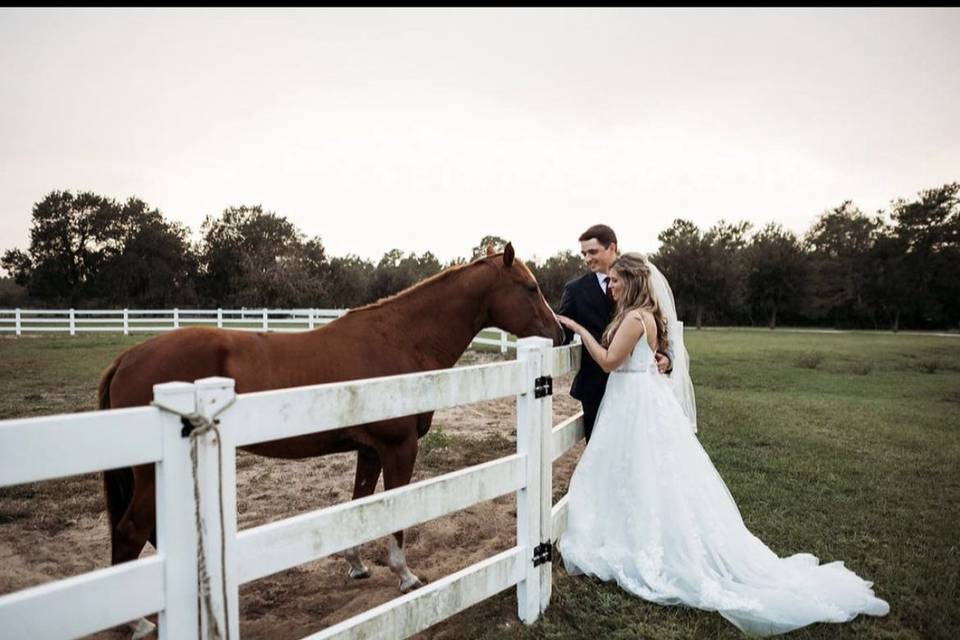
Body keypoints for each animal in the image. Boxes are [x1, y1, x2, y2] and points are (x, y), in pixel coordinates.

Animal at [98, 241, 564, 632]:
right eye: (530, 288)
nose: (561, 334)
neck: (400, 341)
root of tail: (125, 359)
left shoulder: (370, 451)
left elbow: (360, 505)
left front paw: (356, 565)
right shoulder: (399, 449)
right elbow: (395, 509)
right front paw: (405, 575)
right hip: (150, 477)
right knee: (130, 532)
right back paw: (137, 623)